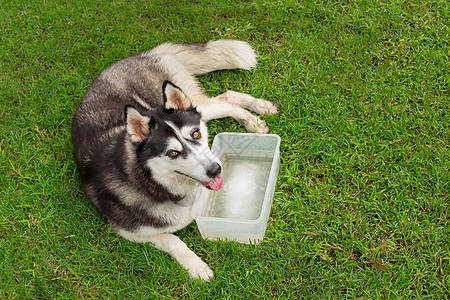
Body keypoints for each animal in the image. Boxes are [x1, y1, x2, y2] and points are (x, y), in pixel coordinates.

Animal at [72, 40, 278, 282]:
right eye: (172, 153)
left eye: (196, 134)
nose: (216, 170)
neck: (156, 184)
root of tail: (141, 55)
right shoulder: (129, 231)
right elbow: (173, 239)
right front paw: (197, 266)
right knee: (225, 97)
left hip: (195, 107)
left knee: (225, 101)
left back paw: (254, 117)